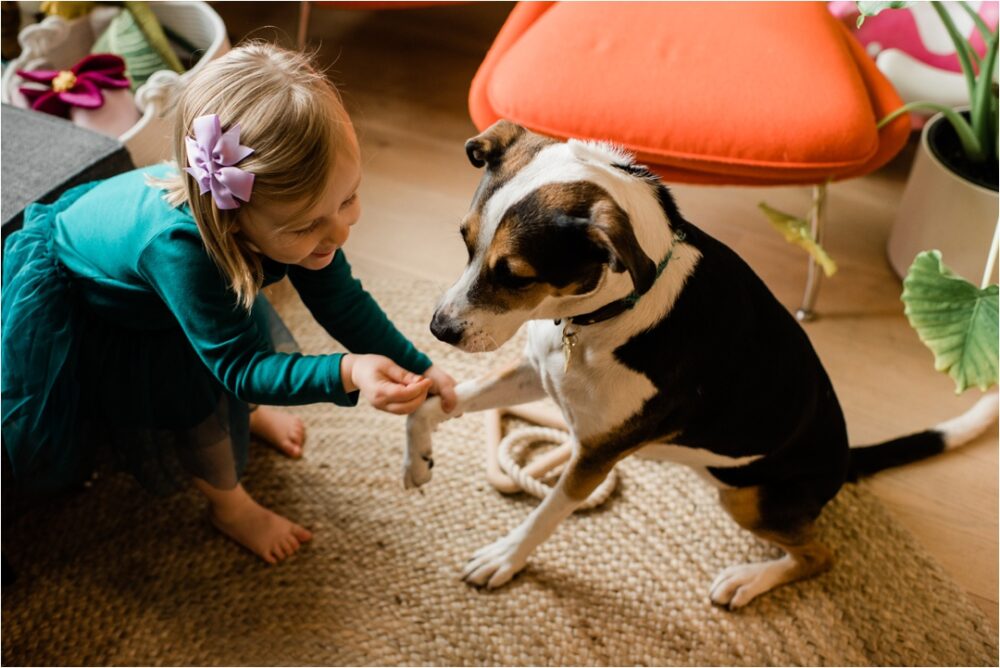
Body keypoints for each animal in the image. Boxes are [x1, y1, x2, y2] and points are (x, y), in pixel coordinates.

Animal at [402, 118, 996, 604]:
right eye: (465, 241)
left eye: (517, 277)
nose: (439, 329)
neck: (596, 317)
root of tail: (846, 456)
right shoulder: (535, 374)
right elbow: (430, 403)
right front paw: (418, 461)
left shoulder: (593, 459)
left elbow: (545, 514)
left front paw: (505, 558)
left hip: (748, 500)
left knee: (819, 556)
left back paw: (747, 581)